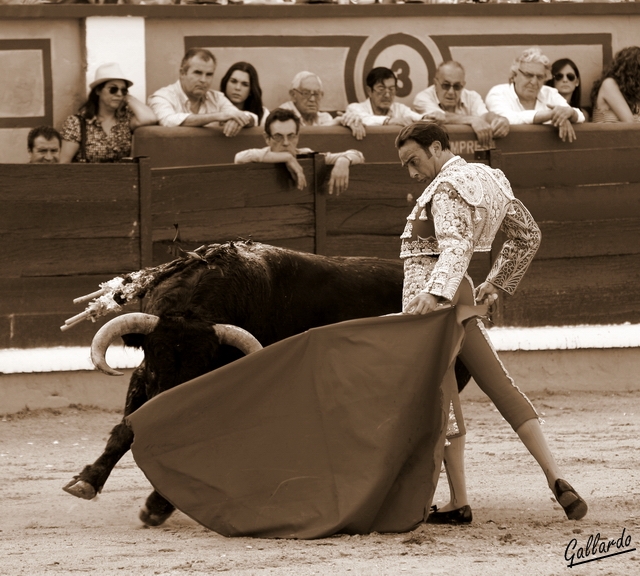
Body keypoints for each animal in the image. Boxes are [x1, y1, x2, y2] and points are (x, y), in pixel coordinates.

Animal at [62, 240, 468, 528]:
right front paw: (88, 480)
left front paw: (157, 505)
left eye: (200, 369)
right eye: (154, 358)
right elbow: (125, 429)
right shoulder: (141, 381)